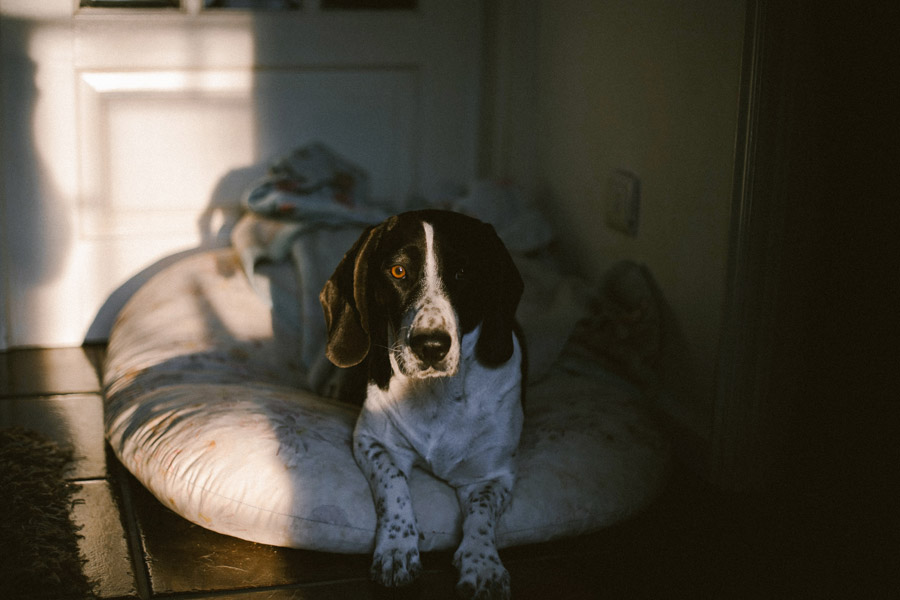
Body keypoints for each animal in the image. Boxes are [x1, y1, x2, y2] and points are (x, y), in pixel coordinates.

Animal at [320, 209, 524, 596]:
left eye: (463, 273)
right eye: (398, 271)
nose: (431, 346)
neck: (436, 393)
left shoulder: (494, 475)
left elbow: (481, 516)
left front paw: (483, 564)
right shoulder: (374, 442)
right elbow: (394, 485)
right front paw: (397, 547)